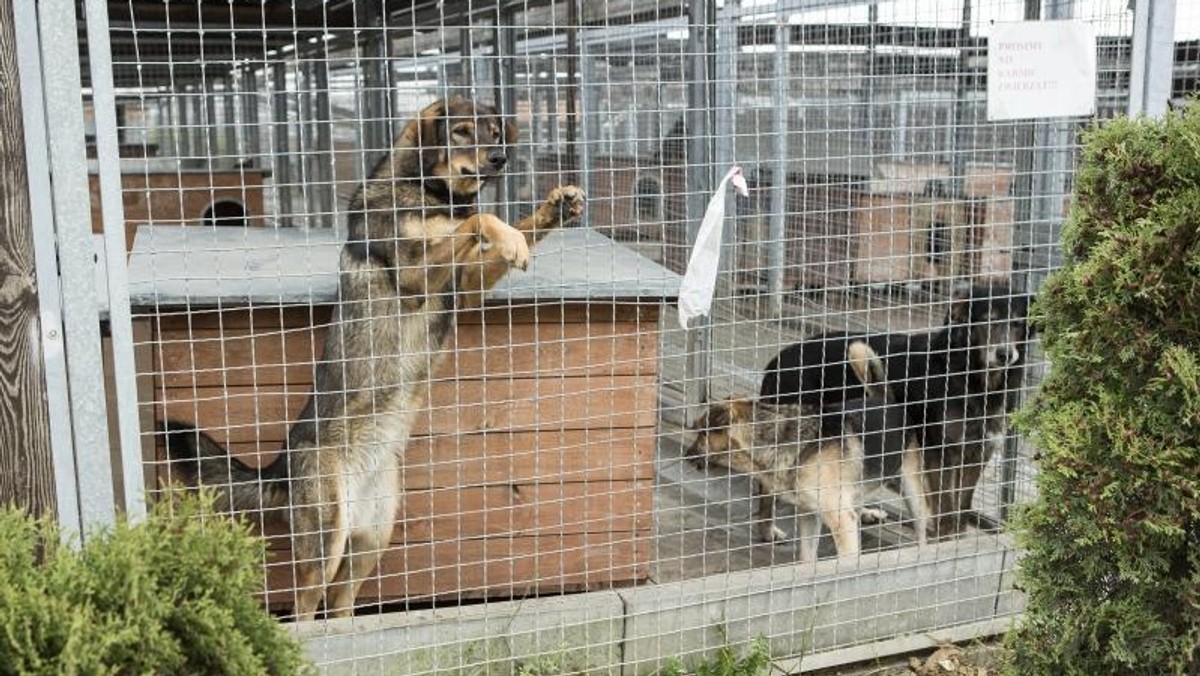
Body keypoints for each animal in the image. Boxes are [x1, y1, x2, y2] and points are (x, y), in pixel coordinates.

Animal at [163, 97, 585, 619]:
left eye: (494, 131)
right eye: (462, 131)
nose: (499, 160)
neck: (430, 194)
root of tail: (281, 464)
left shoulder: (464, 287)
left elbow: (499, 226)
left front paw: (551, 211)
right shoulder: (415, 274)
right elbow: (478, 221)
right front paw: (510, 238)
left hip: (372, 540)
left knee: (342, 604)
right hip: (326, 540)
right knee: (305, 610)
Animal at [763, 283, 1036, 537]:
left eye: (1017, 323)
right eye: (986, 320)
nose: (1005, 354)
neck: (974, 381)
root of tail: (776, 361)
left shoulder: (980, 451)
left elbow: (962, 507)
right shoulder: (940, 452)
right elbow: (946, 508)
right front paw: (946, 540)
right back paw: (767, 531)